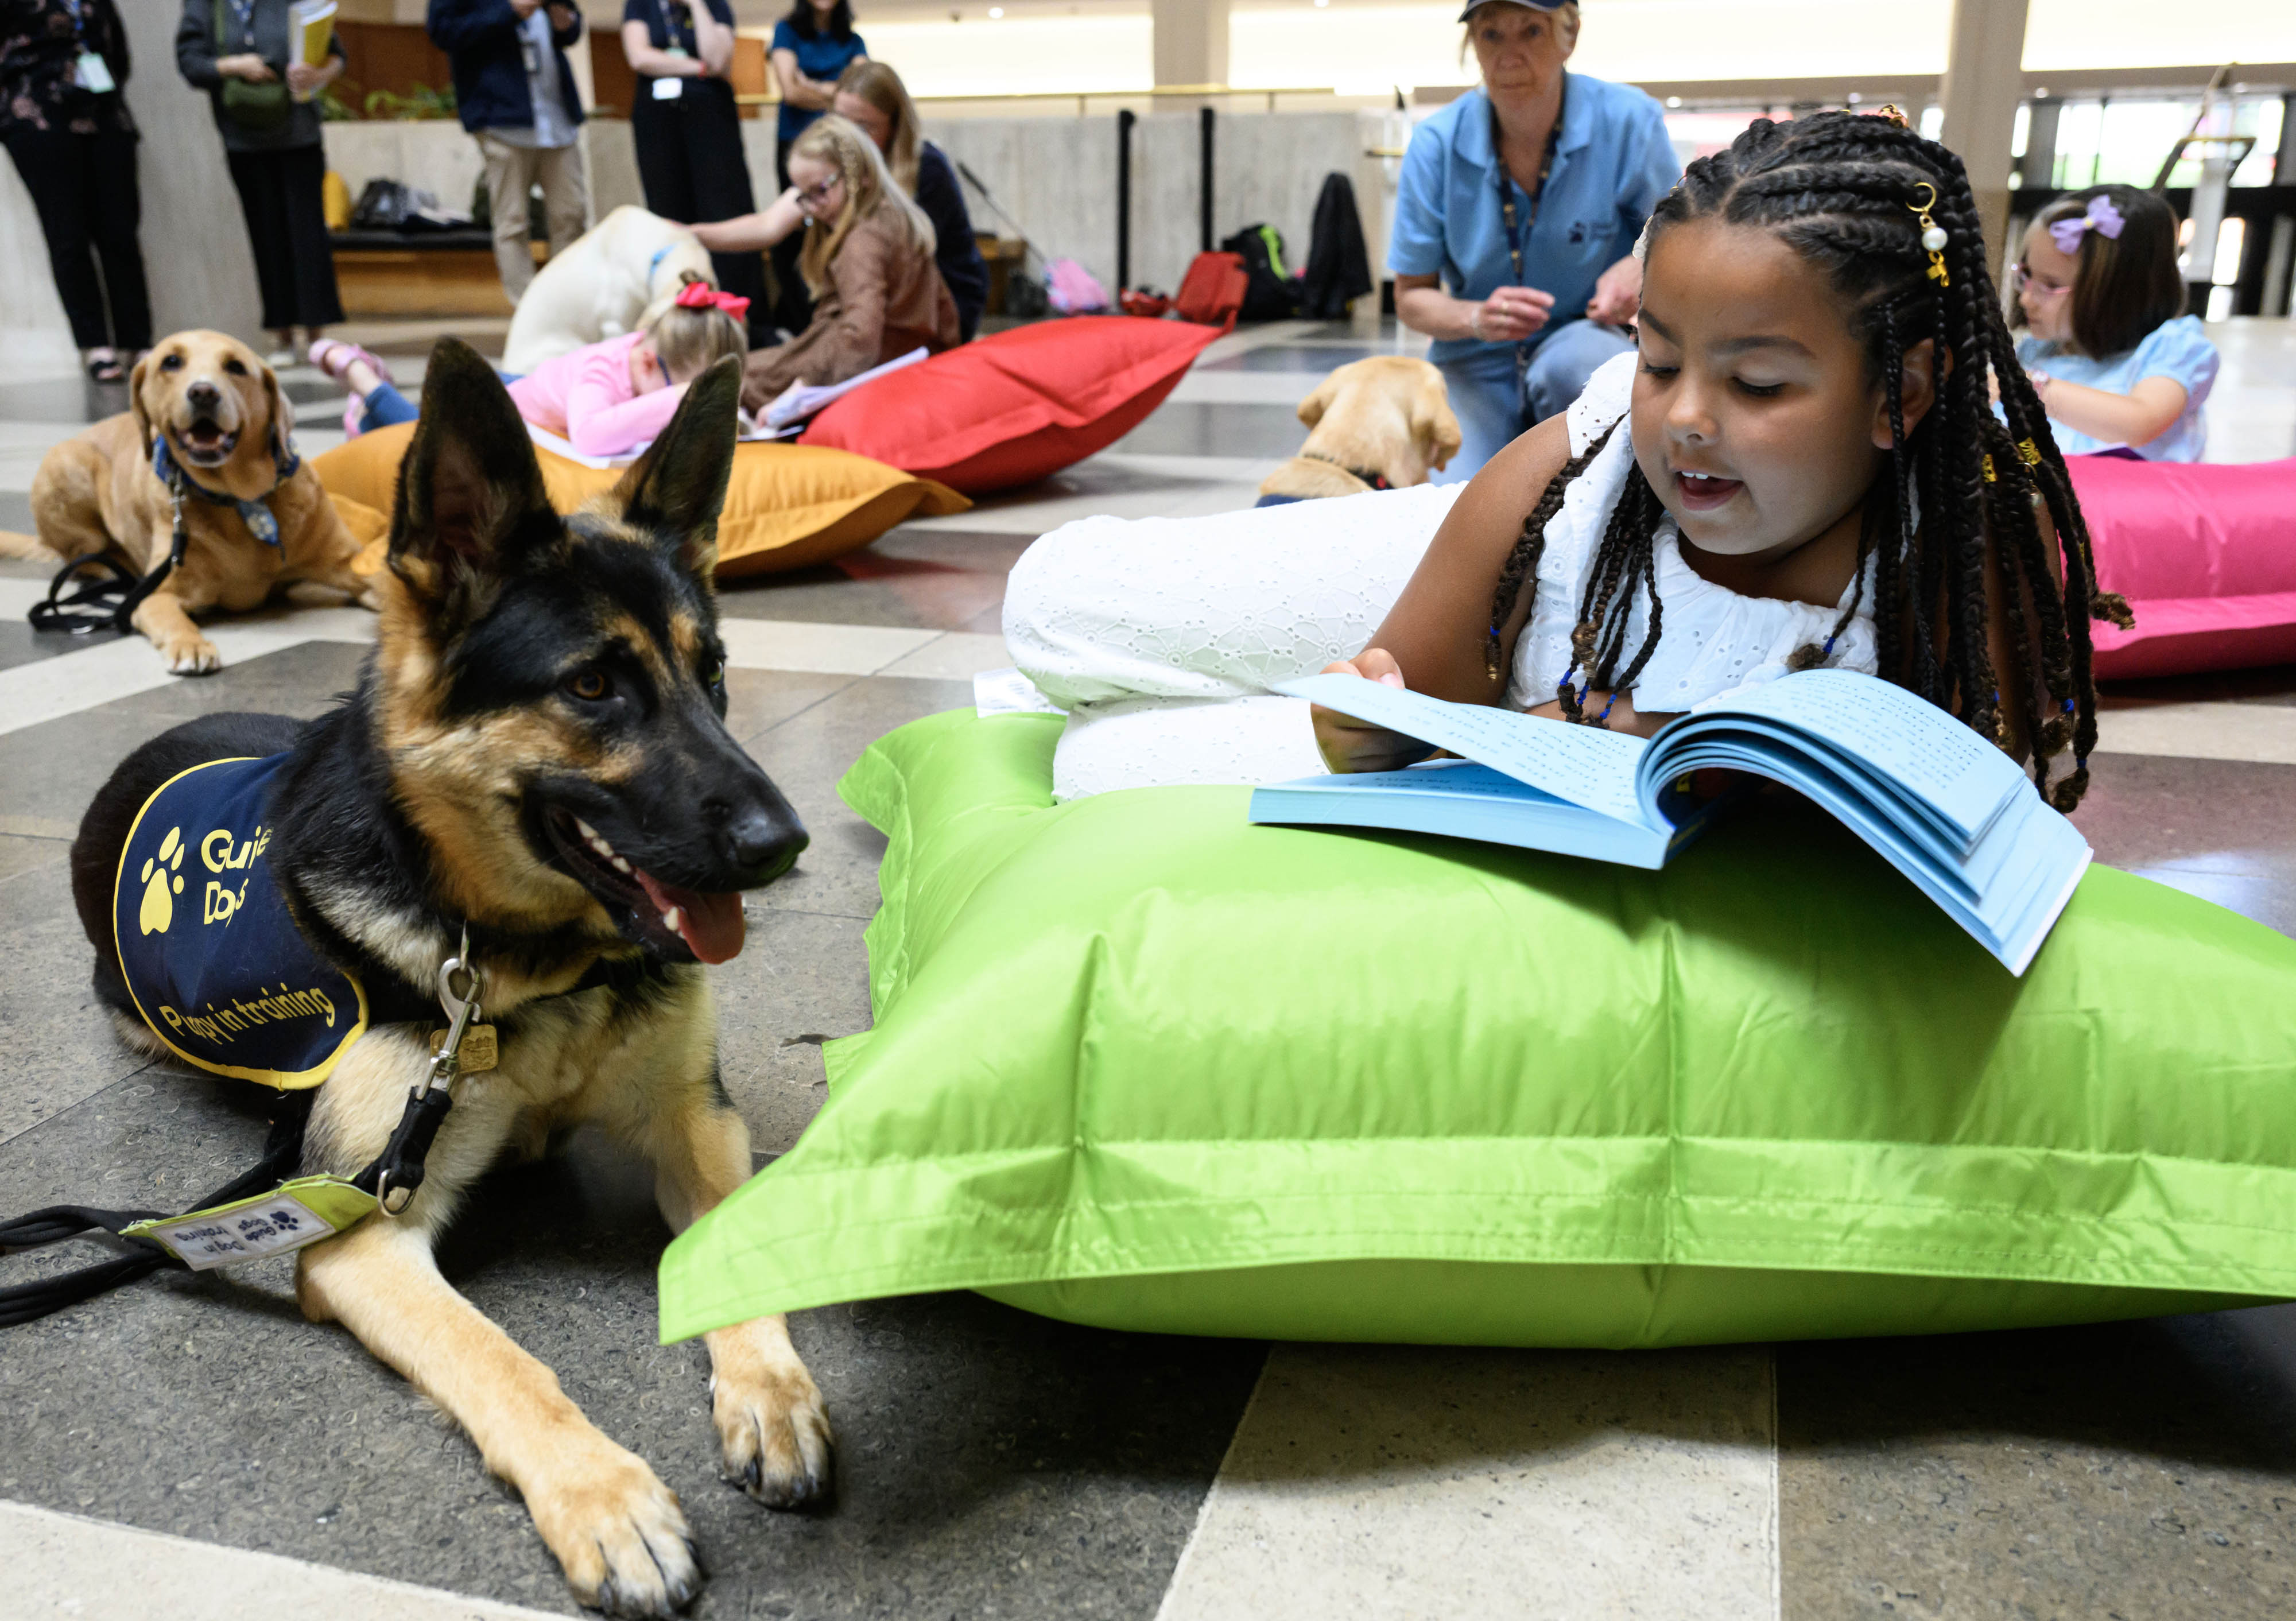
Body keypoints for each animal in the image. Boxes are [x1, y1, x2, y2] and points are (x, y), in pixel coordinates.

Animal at [3, 331, 372, 670]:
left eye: (235, 366)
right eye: (171, 361)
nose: (203, 392)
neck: (242, 500)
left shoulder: (349, 563)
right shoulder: (156, 596)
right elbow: (173, 619)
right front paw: (190, 645)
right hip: (67, 467)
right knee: (82, 556)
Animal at [67, 335, 831, 1607]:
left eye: (714, 671)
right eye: (591, 686)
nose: (786, 843)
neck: (531, 967)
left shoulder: (694, 1119)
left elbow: (734, 1238)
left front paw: (768, 1390)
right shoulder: (358, 1229)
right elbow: (503, 1357)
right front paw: (609, 1500)